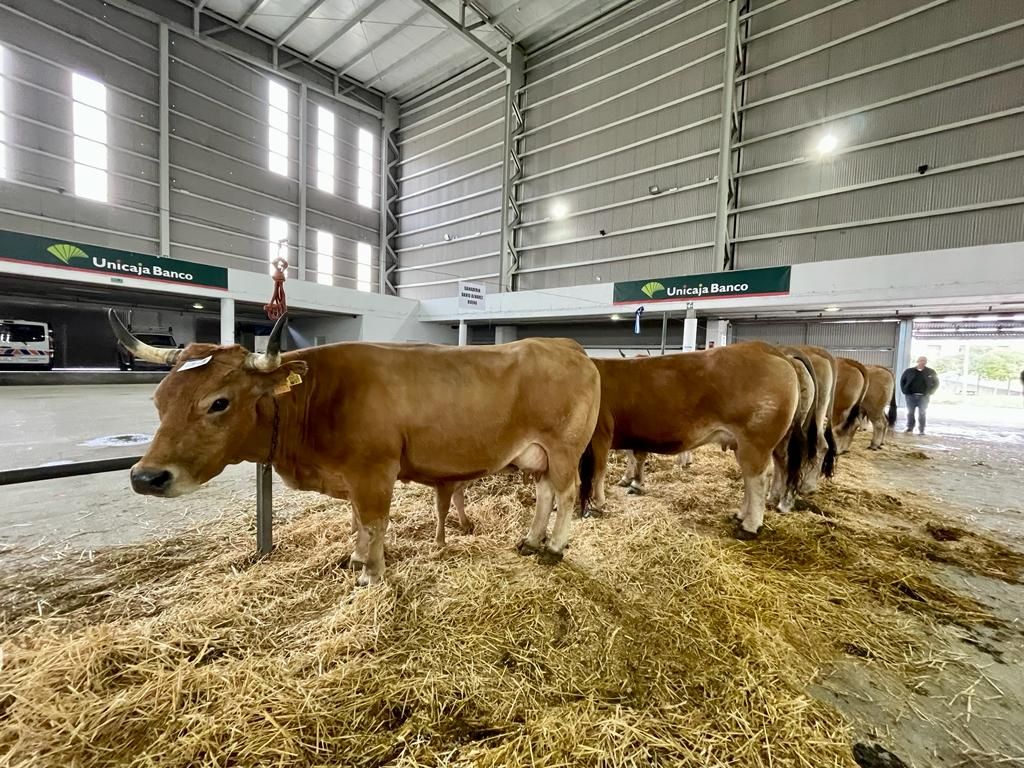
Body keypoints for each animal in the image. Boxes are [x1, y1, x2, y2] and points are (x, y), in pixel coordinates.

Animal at [114, 309, 598, 585]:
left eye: (219, 402)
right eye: (158, 400)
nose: (146, 477)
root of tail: (566, 344)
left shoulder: (374, 472)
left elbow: (374, 522)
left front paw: (371, 573)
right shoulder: (350, 477)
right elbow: (356, 521)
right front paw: (356, 557)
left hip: (564, 448)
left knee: (566, 492)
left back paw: (553, 548)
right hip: (536, 454)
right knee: (545, 493)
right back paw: (530, 541)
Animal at [585, 346, 806, 536]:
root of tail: (763, 347)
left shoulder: (600, 435)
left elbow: (598, 473)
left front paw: (596, 504)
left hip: (756, 441)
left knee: (759, 478)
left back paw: (750, 526)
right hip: (745, 444)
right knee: (752, 477)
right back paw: (741, 515)